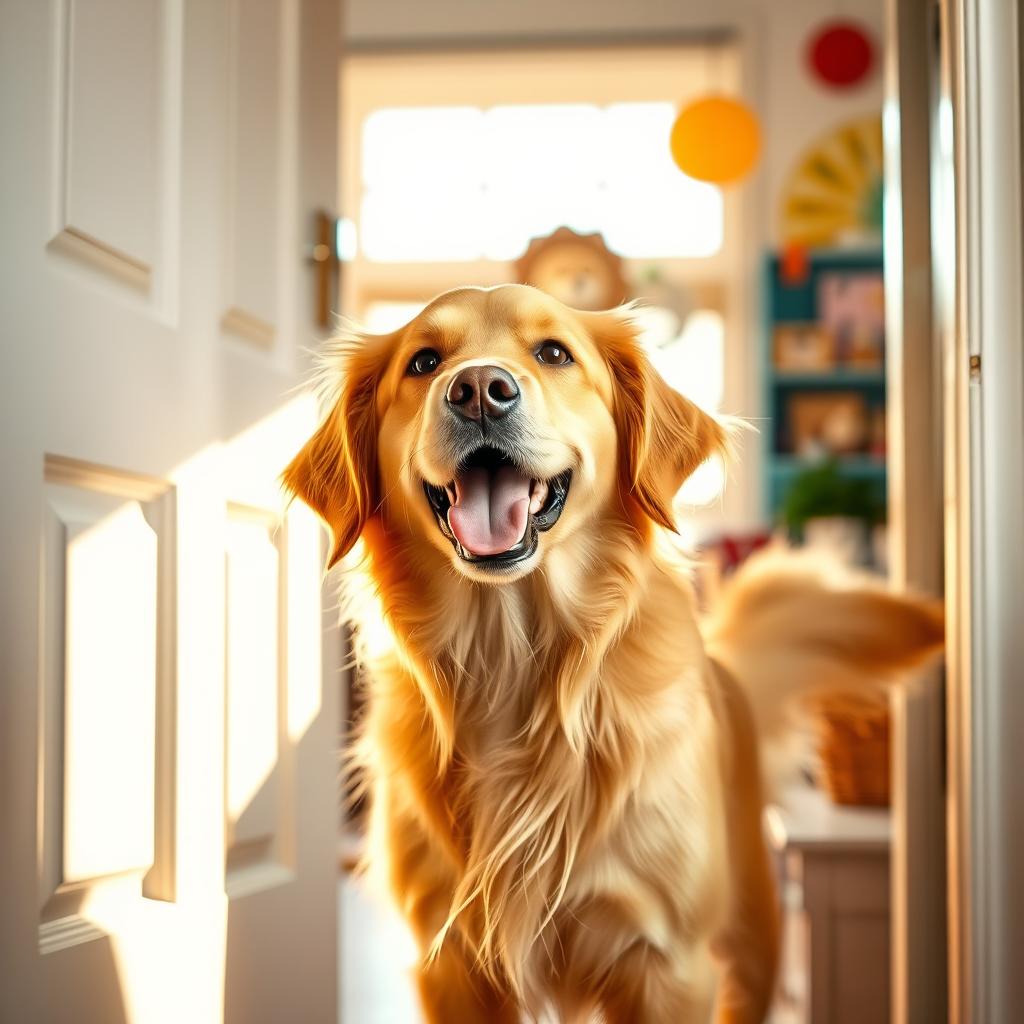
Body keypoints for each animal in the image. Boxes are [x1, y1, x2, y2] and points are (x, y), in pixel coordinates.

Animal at [282, 286, 942, 1024]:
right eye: (423, 362)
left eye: (553, 352)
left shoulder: (666, 961)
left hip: (752, 940)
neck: (513, 662)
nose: (479, 391)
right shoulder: (450, 962)